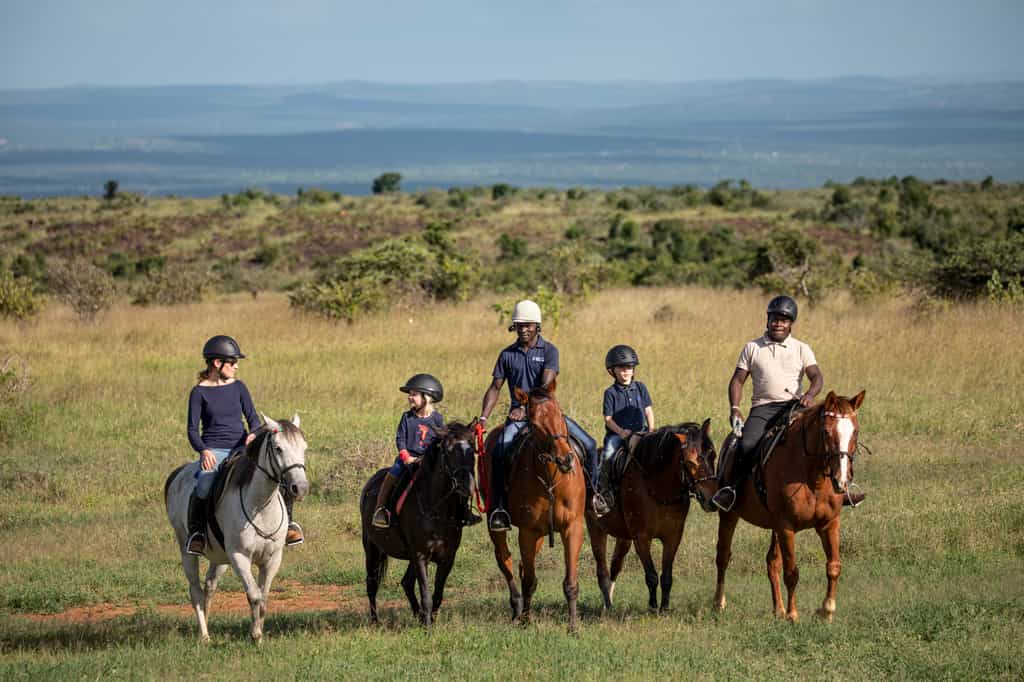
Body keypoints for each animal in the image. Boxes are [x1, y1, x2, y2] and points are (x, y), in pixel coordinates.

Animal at [164, 414, 309, 643]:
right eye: (278, 448)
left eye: (304, 447)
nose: (300, 488)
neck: (260, 505)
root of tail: (177, 475)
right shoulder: (239, 557)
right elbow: (254, 595)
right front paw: (255, 635)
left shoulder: (272, 559)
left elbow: (264, 598)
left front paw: (258, 635)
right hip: (186, 550)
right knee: (195, 591)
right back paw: (204, 636)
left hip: (220, 557)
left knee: (209, 586)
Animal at [360, 421, 479, 626]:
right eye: (447, 449)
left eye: (472, 447)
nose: (465, 484)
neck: (437, 509)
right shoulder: (420, 556)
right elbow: (426, 596)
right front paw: (428, 627)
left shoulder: (447, 557)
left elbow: (437, 595)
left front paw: (429, 621)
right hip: (372, 548)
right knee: (372, 584)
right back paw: (375, 621)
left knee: (406, 582)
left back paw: (418, 616)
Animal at [482, 379, 588, 634]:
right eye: (537, 424)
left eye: (560, 414)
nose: (566, 460)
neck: (551, 479)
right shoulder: (528, 531)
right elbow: (529, 580)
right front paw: (526, 621)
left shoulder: (572, 527)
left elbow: (570, 582)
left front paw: (573, 627)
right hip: (497, 525)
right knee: (506, 560)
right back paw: (517, 609)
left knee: (521, 566)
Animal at [586, 420, 719, 613]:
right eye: (690, 462)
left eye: (713, 455)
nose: (712, 500)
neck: (657, 487)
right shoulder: (641, 538)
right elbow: (651, 576)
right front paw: (652, 607)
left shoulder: (673, 537)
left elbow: (667, 577)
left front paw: (664, 608)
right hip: (595, 528)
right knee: (602, 571)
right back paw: (608, 607)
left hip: (623, 537)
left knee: (615, 565)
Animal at [713, 390, 866, 623]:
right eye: (826, 431)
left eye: (855, 432)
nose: (841, 480)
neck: (813, 478)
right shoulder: (786, 526)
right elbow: (792, 572)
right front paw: (793, 615)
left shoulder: (829, 523)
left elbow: (834, 566)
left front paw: (827, 610)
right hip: (729, 515)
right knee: (723, 556)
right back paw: (719, 604)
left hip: (774, 526)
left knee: (772, 562)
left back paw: (778, 609)